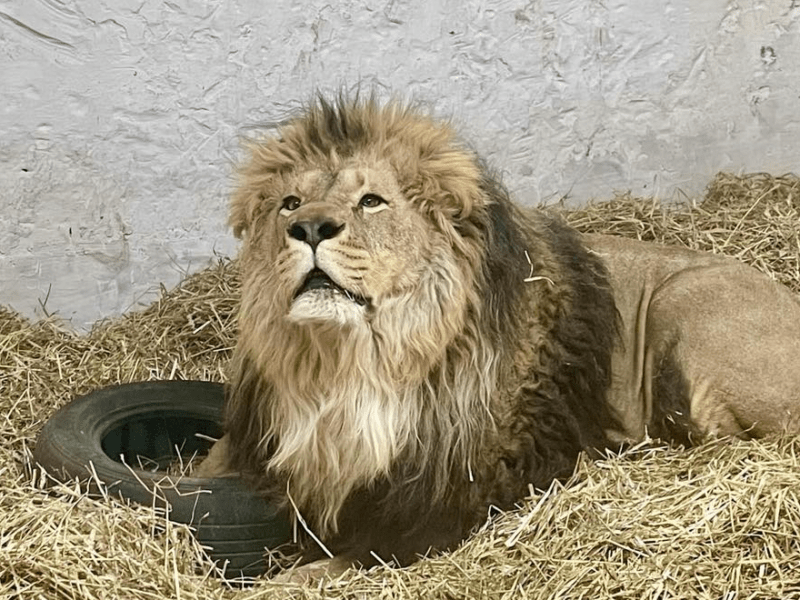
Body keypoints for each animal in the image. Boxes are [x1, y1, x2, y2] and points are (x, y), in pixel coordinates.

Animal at [198, 96, 800, 580]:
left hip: (681, 298)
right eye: (290, 204)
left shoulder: (443, 505)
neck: (347, 365)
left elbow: (325, 570)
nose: (308, 229)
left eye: (371, 201)